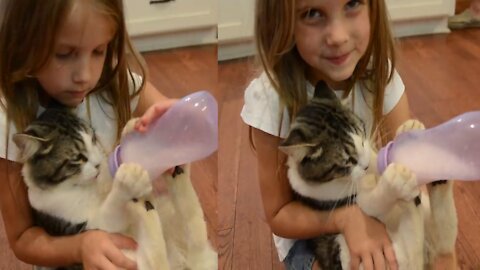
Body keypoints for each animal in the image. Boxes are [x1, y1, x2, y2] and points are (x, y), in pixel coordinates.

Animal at [282, 82, 458, 270]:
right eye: (347, 160)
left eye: (362, 134)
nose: (366, 165)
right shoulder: (346, 202)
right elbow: (372, 203)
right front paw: (395, 182)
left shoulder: (371, 153)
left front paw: (408, 133)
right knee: (416, 246)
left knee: (442, 235)